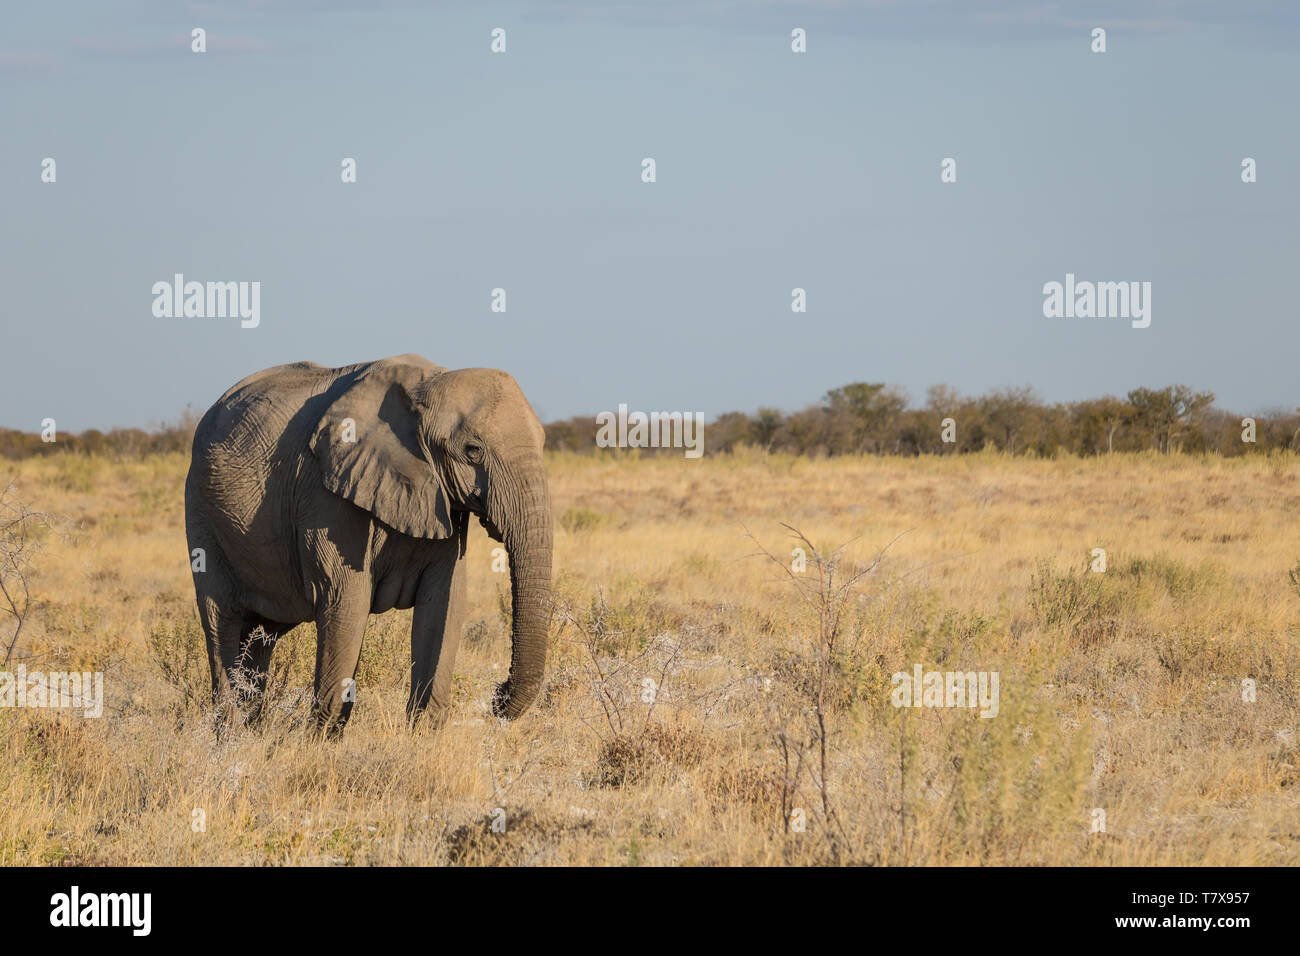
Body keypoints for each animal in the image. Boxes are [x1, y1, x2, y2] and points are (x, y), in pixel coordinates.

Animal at [184, 356, 553, 738]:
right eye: (473, 450)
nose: (498, 695)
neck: (427, 386)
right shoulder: (327, 495)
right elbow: (346, 600)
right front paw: (319, 742)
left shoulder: (444, 501)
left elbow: (445, 603)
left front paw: (422, 738)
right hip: (201, 511)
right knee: (222, 622)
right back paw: (231, 736)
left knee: (260, 636)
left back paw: (251, 731)